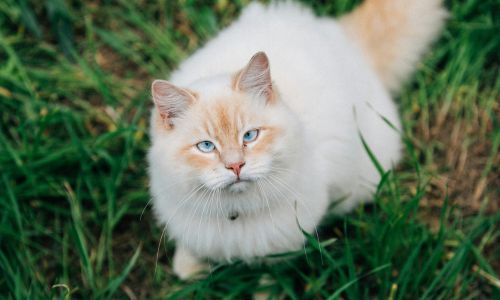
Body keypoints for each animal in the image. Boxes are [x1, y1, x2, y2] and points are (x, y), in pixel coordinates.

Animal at [147, 0, 446, 278]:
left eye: (250, 136)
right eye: (206, 146)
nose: (235, 166)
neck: (236, 212)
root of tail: (340, 36)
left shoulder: (284, 241)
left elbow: (273, 273)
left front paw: (264, 288)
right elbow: (194, 246)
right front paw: (188, 269)